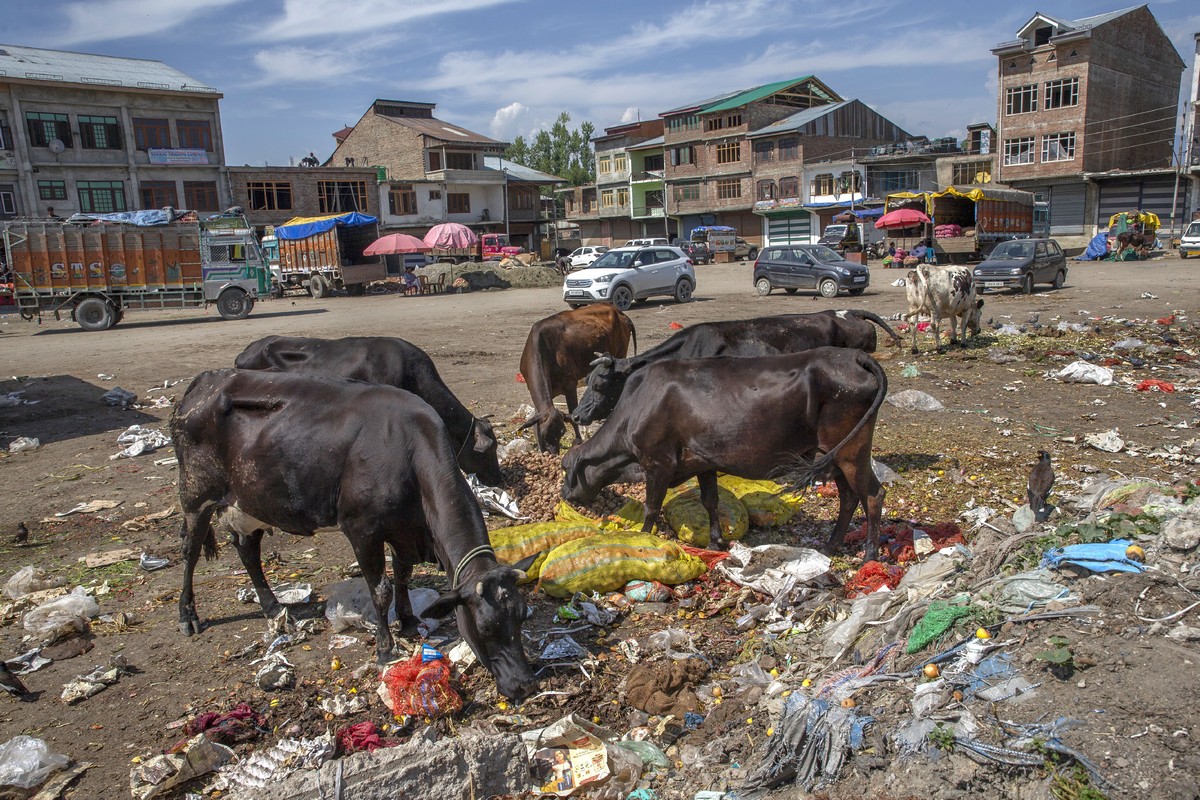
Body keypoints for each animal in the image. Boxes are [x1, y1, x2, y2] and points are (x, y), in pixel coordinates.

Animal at [171, 371, 537, 700]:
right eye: (485, 627)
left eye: (522, 617)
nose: (524, 685)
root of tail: (204, 381)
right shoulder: (362, 529)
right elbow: (381, 590)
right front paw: (386, 648)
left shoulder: (404, 531)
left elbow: (403, 574)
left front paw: (408, 621)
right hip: (195, 494)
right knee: (191, 549)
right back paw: (188, 615)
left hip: (250, 502)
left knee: (248, 550)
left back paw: (273, 607)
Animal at [520, 307, 643, 453]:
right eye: (544, 434)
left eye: (562, 432)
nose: (554, 453)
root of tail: (618, 311)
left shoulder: (570, 385)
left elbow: (573, 415)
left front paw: (579, 441)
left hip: (621, 353)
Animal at [561, 347, 892, 561]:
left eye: (566, 468)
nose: (565, 494)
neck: (637, 404)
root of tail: (855, 356)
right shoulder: (703, 461)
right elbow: (710, 501)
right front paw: (715, 541)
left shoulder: (658, 462)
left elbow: (651, 507)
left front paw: (645, 537)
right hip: (836, 455)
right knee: (849, 497)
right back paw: (831, 545)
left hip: (851, 451)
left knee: (872, 495)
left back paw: (870, 554)